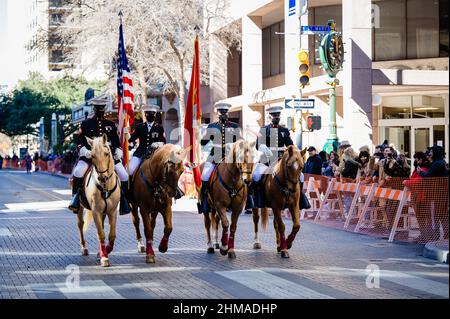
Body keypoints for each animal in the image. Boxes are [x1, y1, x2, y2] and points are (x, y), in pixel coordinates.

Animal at [75, 134, 121, 268]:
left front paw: (104, 252)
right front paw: (104, 257)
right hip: (80, 207)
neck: (105, 186)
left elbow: (111, 235)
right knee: (80, 225)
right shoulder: (96, 211)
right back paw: (84, 247)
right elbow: (101, 234)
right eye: (92, 155)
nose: (102, 177)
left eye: (106, 153)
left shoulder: (112, 211)